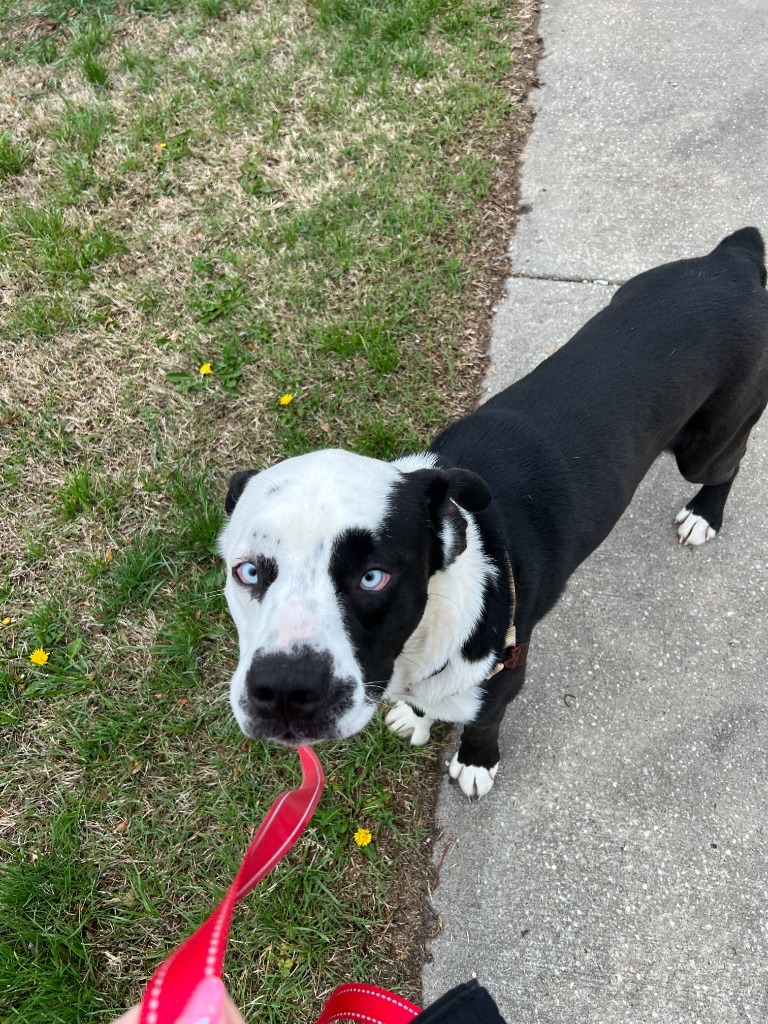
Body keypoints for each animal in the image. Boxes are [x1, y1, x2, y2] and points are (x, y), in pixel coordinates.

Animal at [218, 228, 768, 794]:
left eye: (374, 577)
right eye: (247, 571)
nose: (285, 689)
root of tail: (732, 257)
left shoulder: (506, 673)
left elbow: (483, 721)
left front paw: (477, 761)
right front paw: (416, 717)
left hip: (706, 445)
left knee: (732, 460)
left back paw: (704, 513)